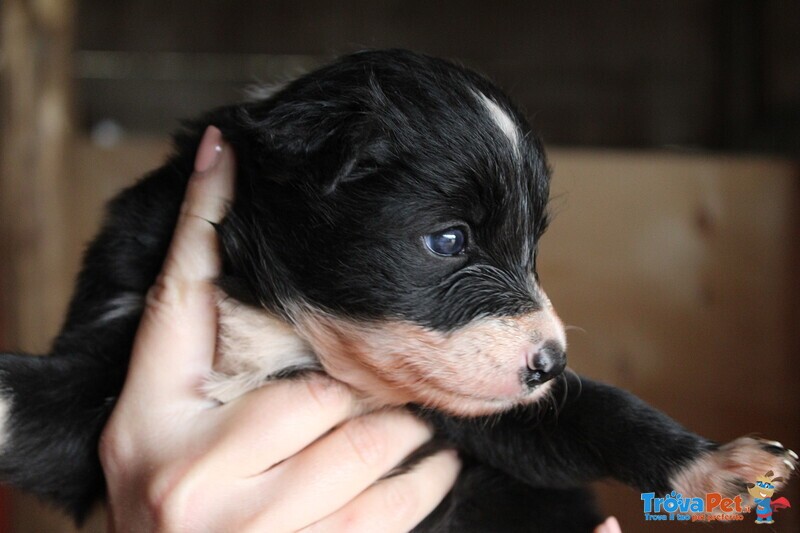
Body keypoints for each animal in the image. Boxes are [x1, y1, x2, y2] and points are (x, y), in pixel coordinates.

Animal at [0, 48, 792, 528]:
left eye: (532, 246)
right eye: (449, 241)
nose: (551, 362)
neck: (284, 329)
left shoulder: (472, 423)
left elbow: (598, 413)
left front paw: (720, 462)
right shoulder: (108, 362)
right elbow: (33, 409)